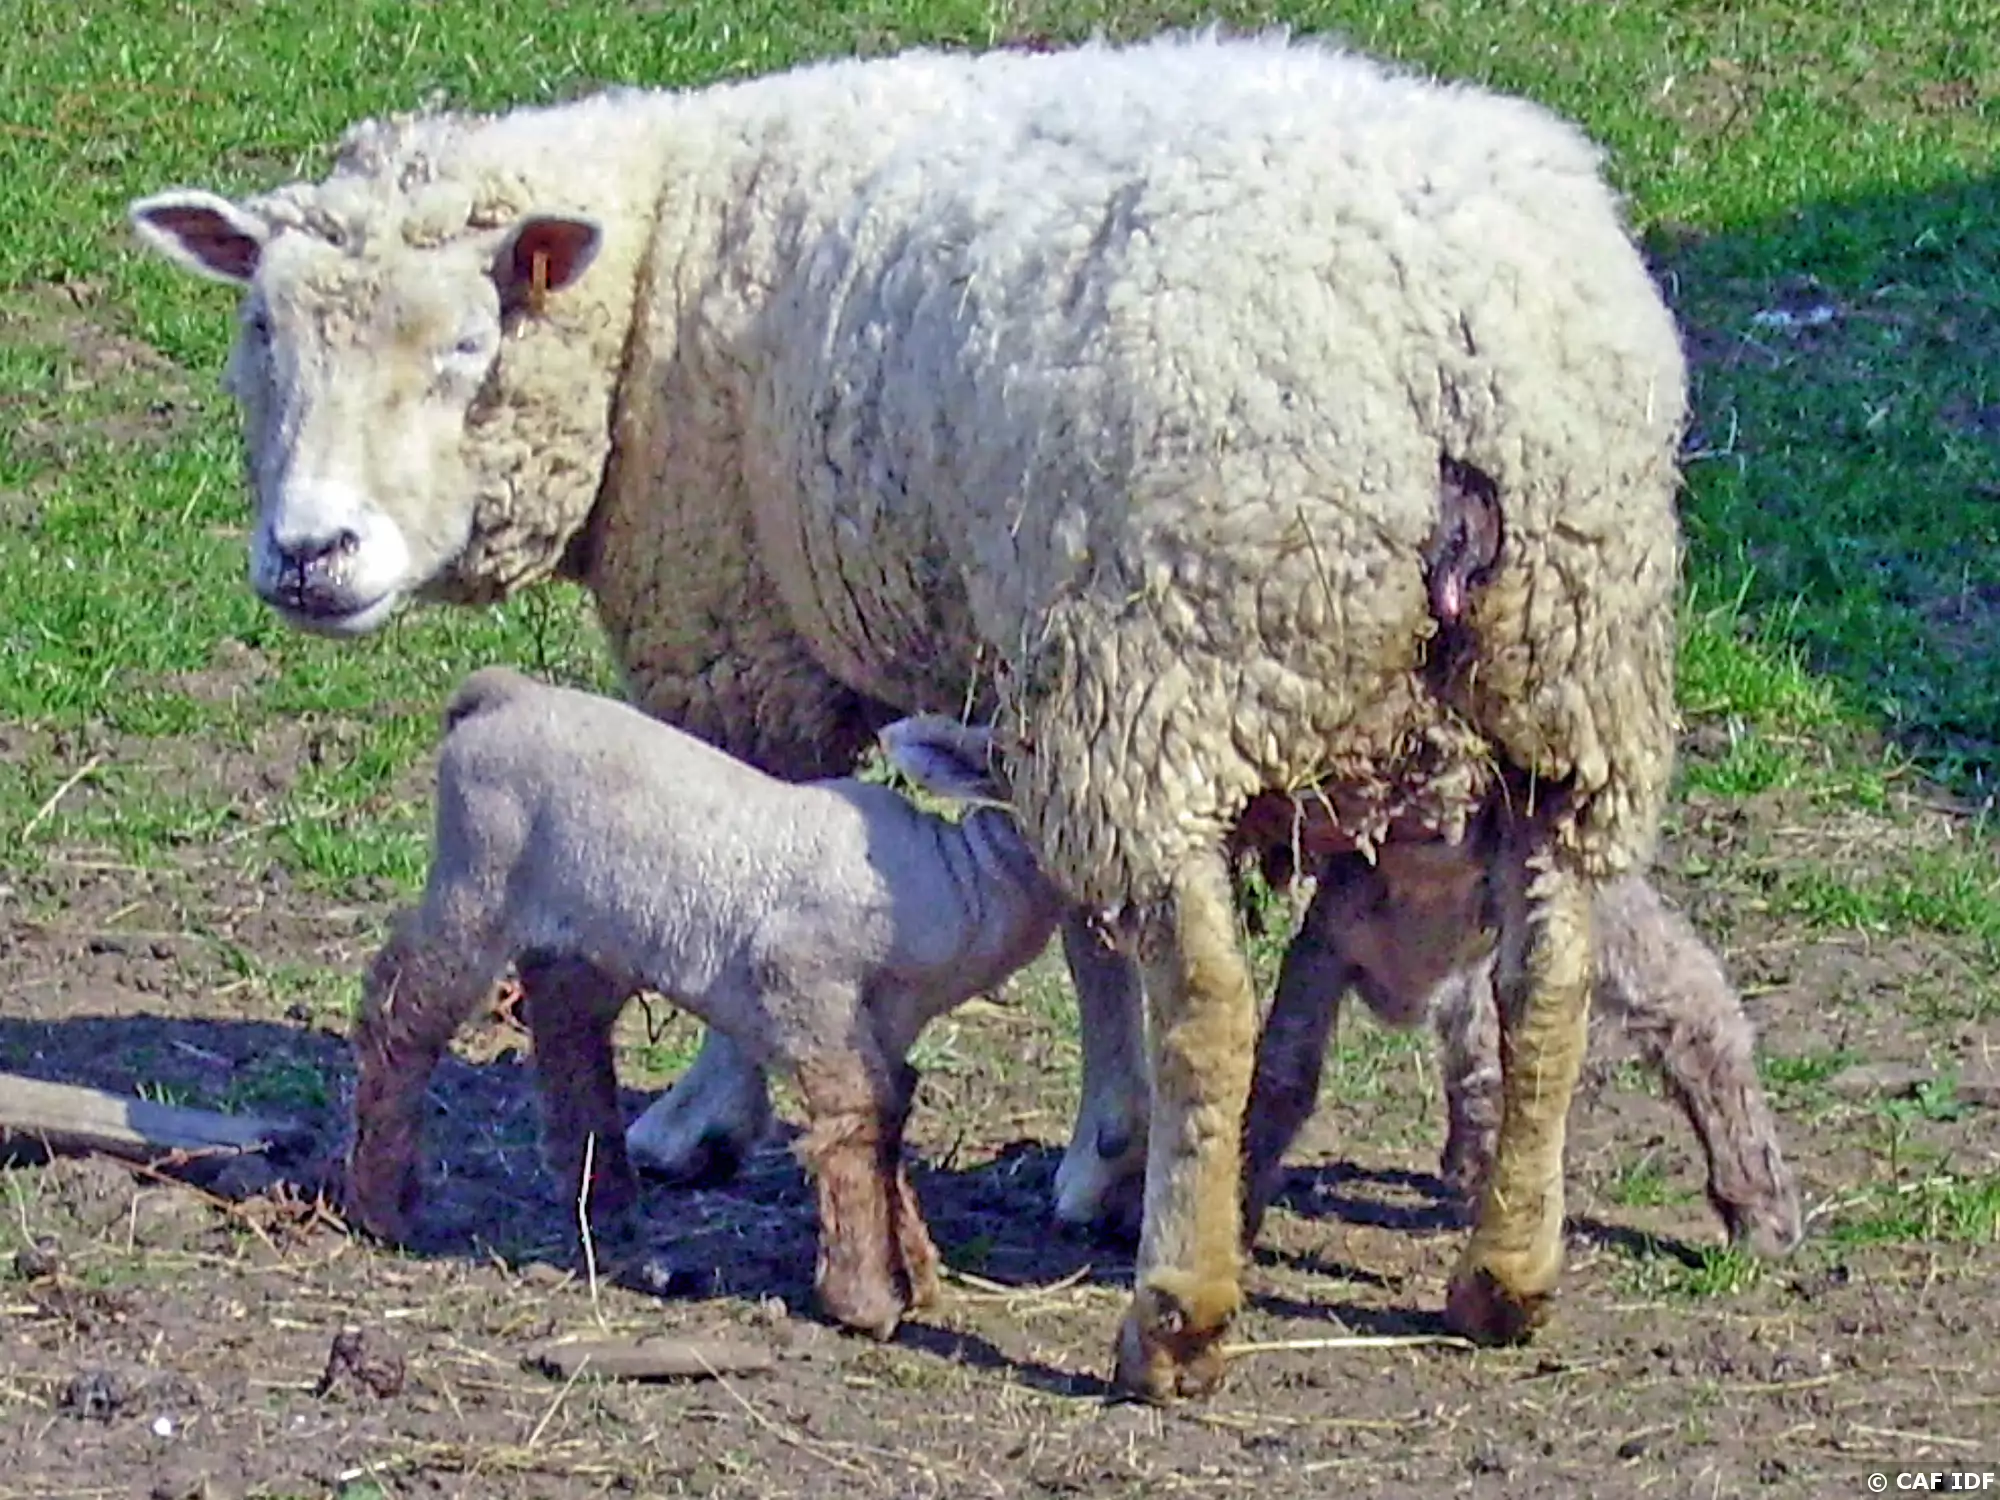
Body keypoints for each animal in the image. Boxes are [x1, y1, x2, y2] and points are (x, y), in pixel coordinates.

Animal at [346, 665, 1064, 1340]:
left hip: (584, 920)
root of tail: (500, 694)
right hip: (477, 876)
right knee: (403, 1013)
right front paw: (865, 1298)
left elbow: (885, 1117)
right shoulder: (803, 981)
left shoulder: (885, 1024)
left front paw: (910, 1271)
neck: (962, 884)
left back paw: (604, 1206)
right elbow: (855, 1116)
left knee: (566, 1027)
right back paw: (383, 1205)